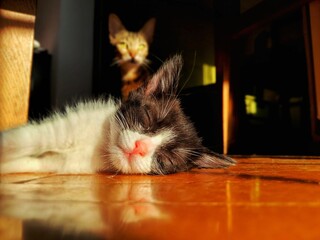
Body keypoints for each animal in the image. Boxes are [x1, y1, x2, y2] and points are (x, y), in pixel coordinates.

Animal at [0, 54, 235, 174]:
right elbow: (20, 141)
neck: (101, 146)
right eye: (147, 119)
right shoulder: (57, 130)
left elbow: (30, 163)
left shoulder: (62, 163)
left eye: (167, 159)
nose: (140, 148)